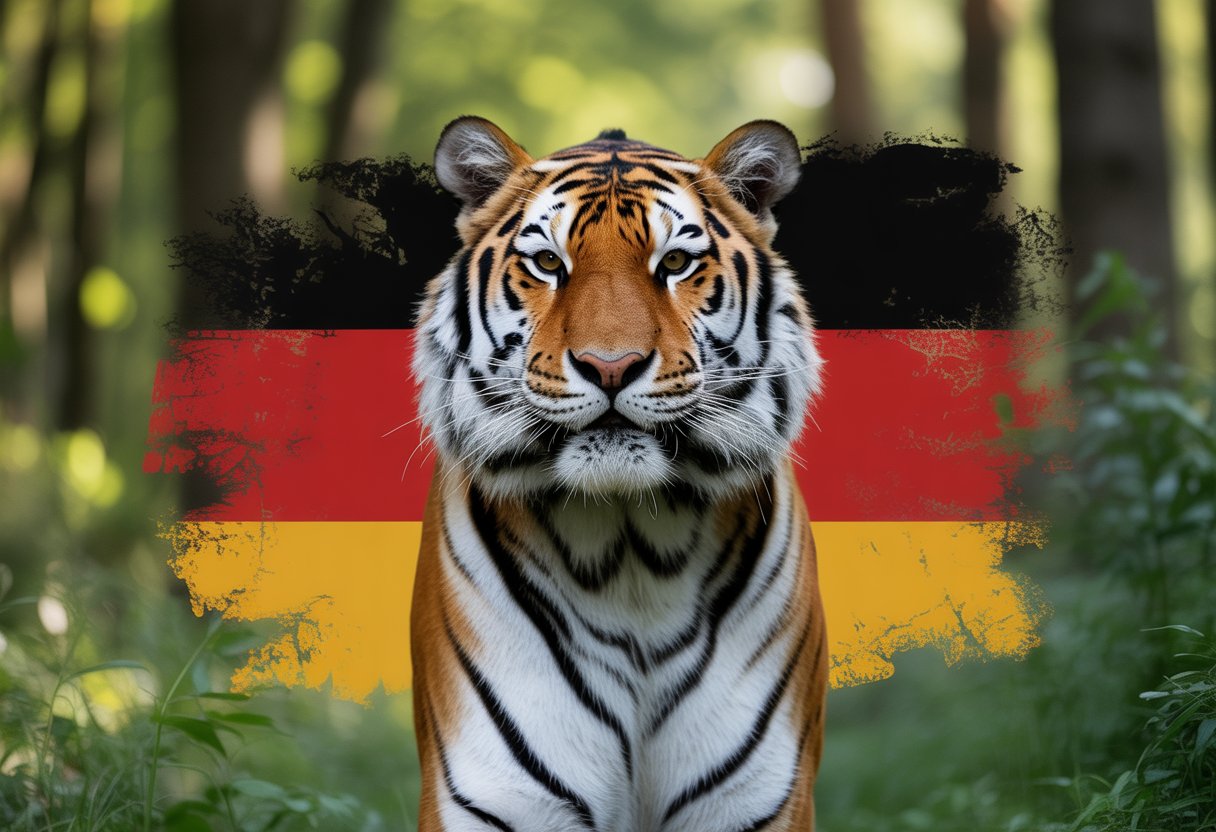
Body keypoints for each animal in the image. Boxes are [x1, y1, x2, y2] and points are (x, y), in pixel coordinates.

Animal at [410, 116, 827, 832]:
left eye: (676, 264)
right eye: (549, 263)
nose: (611, 365)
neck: (631, 548)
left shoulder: (757, 800)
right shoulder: (495, 797)